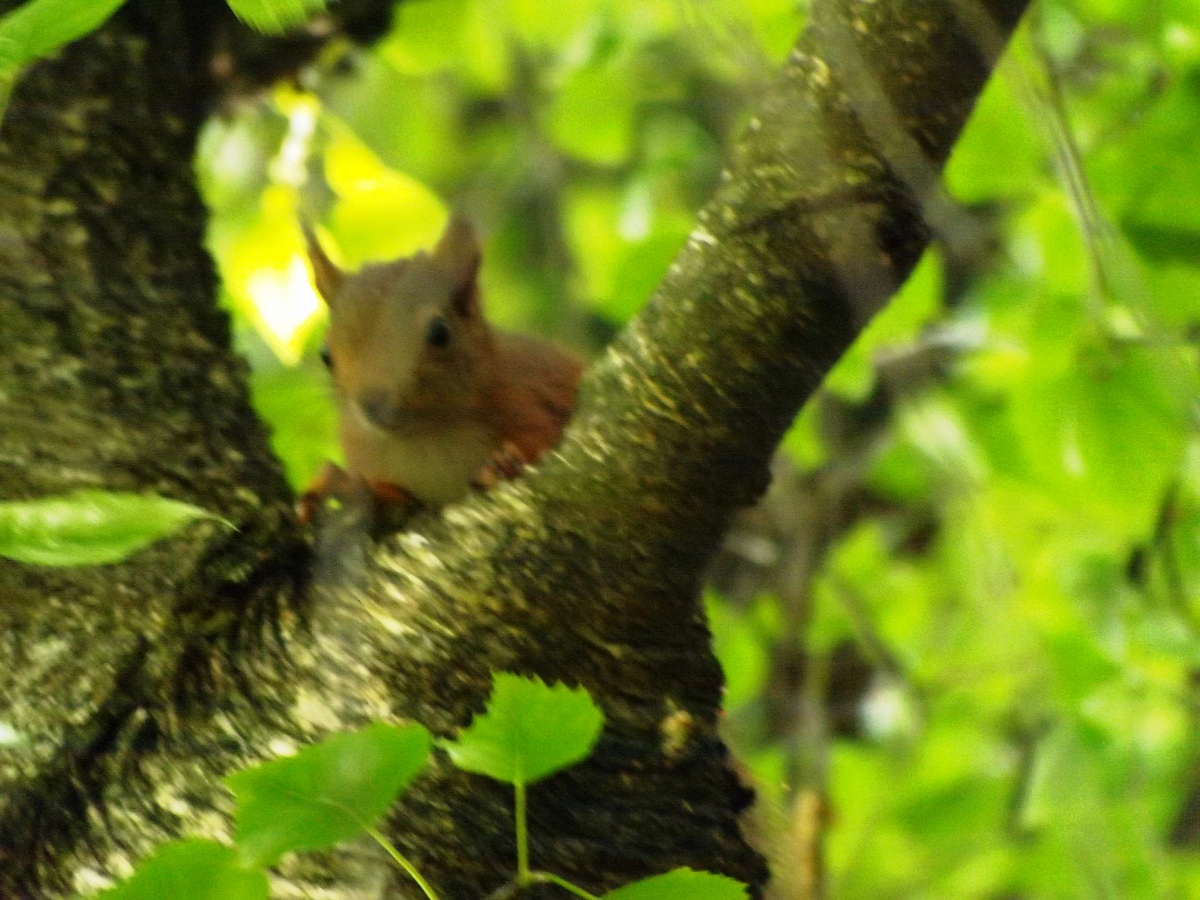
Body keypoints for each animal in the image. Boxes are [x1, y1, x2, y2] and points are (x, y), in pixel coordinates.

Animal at [297, 215, 584, 524]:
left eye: (440, 333)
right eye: (325, 354)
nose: (374, 406)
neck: (428, 435)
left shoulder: (533, 390)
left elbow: (550, 437)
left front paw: (505, 464)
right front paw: (337, 485)